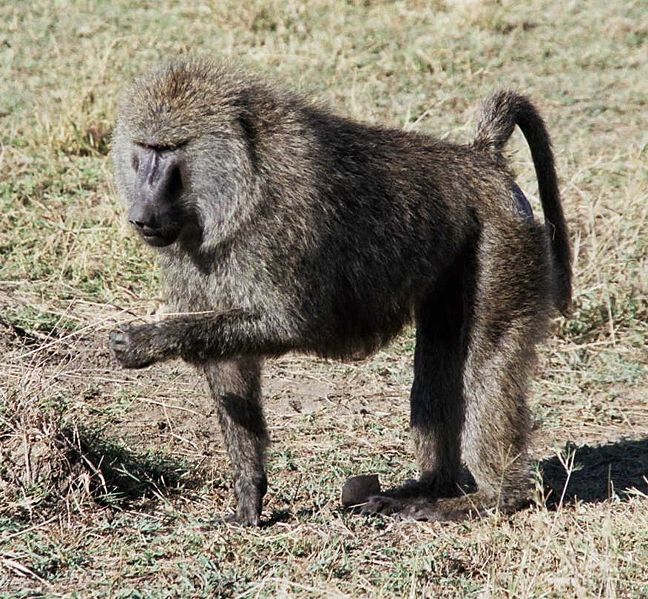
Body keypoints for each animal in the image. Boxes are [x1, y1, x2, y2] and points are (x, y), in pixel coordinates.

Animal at [109, 58, 571, 526]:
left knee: (487, 363)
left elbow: (290, 324)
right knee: (439, 360)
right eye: (144, 148)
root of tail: (481, 159)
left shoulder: (284, 226)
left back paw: (490, 498)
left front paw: (142, 341)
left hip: (501, 239)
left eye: (168, 150)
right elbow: (229, 366)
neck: (241, 183)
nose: (140, 216)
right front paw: (249, 498)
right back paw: (428, 487)